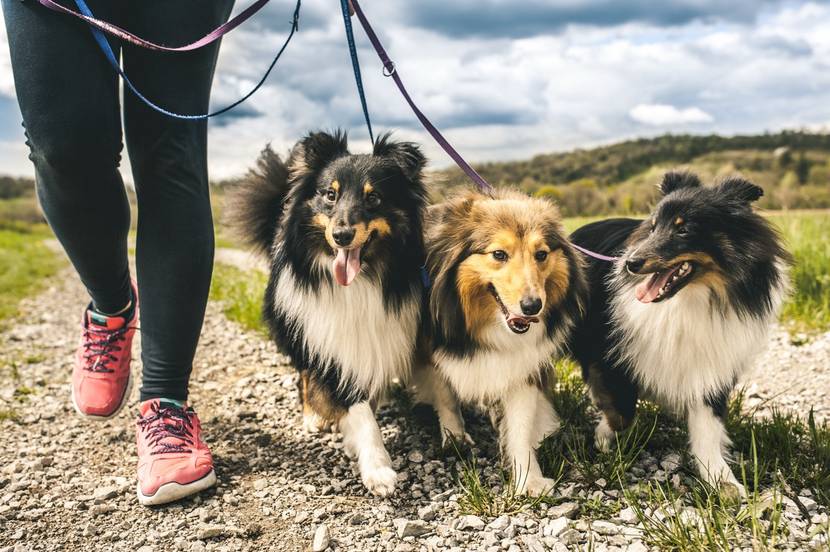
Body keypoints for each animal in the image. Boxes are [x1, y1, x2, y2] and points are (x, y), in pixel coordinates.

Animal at [232, 130, 432, 496]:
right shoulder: (326, 343)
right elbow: (359, 411)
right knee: (304, 375)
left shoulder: (378, 339)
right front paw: (378, 468)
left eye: (374, 198)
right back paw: (313, 416)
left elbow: (368, 399)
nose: (341, 236)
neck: (359, 281)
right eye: (330, 194)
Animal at [412, 191, 588, 496]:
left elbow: (521, 426)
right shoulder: (432, 349)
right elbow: (445, 396)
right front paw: (454, 437)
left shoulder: (523, 365)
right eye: (498, 254)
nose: (532, 307)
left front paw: (528, 480)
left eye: (541, 254)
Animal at [572, 171, 792, 492]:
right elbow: (622, 412)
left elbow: (708, 428)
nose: (631, 263)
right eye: (652, 227)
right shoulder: (608, 355)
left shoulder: (710, 366)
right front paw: (602, 438)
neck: (690, 299)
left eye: (684, 230)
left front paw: (722, 481)